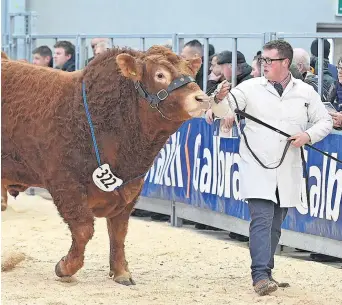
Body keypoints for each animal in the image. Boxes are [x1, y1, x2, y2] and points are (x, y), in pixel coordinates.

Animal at [0, 46, 208, 284]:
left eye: (190, 73)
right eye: (160, 75)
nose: (202, 98)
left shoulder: (129, 190)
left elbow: (118, 232)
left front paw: (121, 272)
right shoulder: (65, 185)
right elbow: (84, 229)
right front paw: (65, 267)